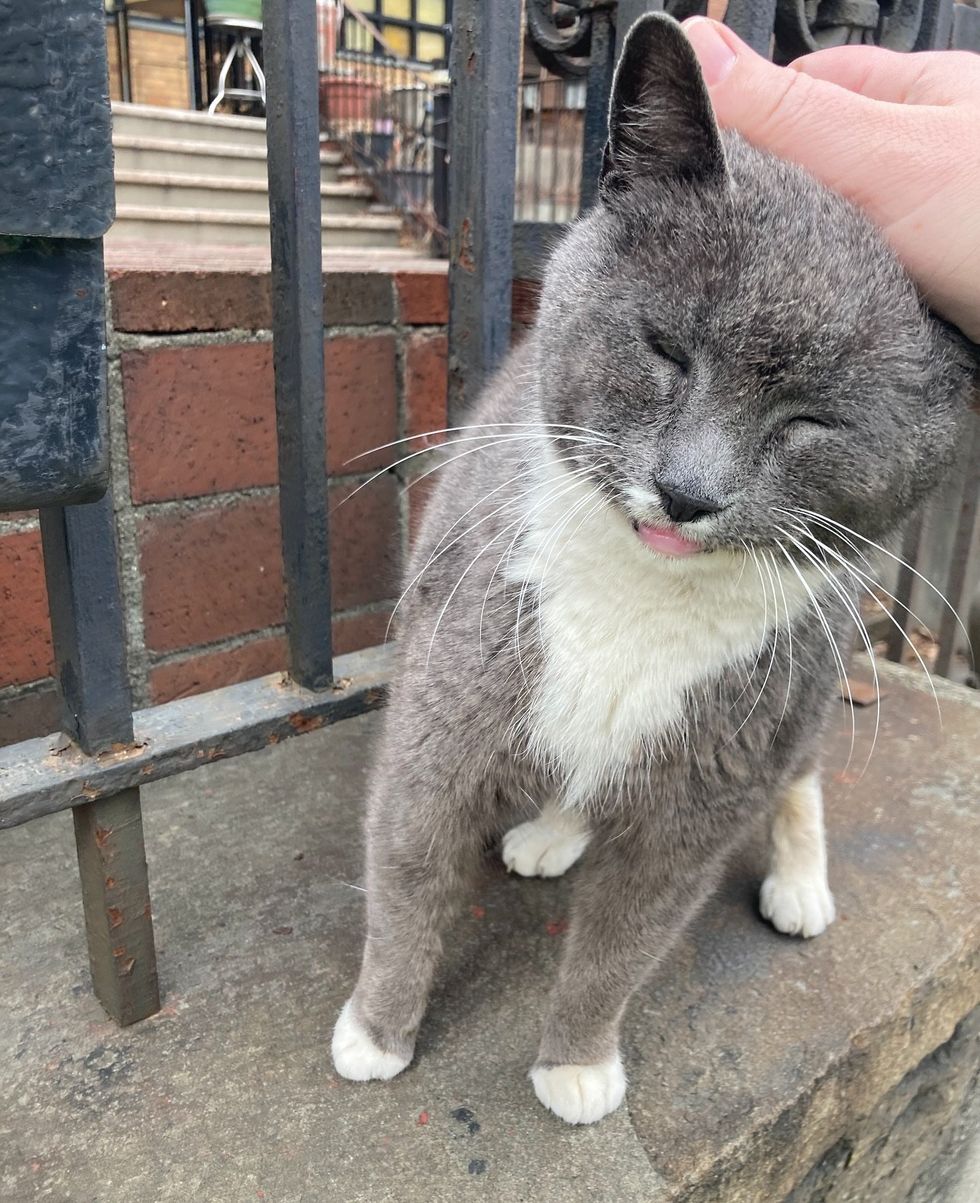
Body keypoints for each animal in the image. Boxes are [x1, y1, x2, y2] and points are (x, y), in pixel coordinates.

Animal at [329, 14, 971, 1121]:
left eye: (812, 421)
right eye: (665, 349)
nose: (685, 490)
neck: (639, 599)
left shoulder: (712, 779)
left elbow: (626, 938)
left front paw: (577, 1064)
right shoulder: (448, 698)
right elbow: (408, 867)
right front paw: (377, 1031)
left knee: (801, 773)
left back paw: (798, 882)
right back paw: (549, 831)